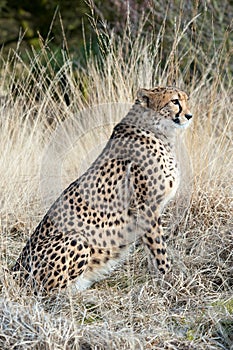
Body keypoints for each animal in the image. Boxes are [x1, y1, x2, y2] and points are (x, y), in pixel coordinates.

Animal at [11, 87, 192, 292]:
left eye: (186, 100)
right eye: (174, 101)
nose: (189, 115)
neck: (158, 130)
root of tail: (16, 269)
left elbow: (152, 250)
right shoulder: (146, 208)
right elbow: (159, 249)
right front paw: (172, 280)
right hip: (77, 239)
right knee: (48, 291)